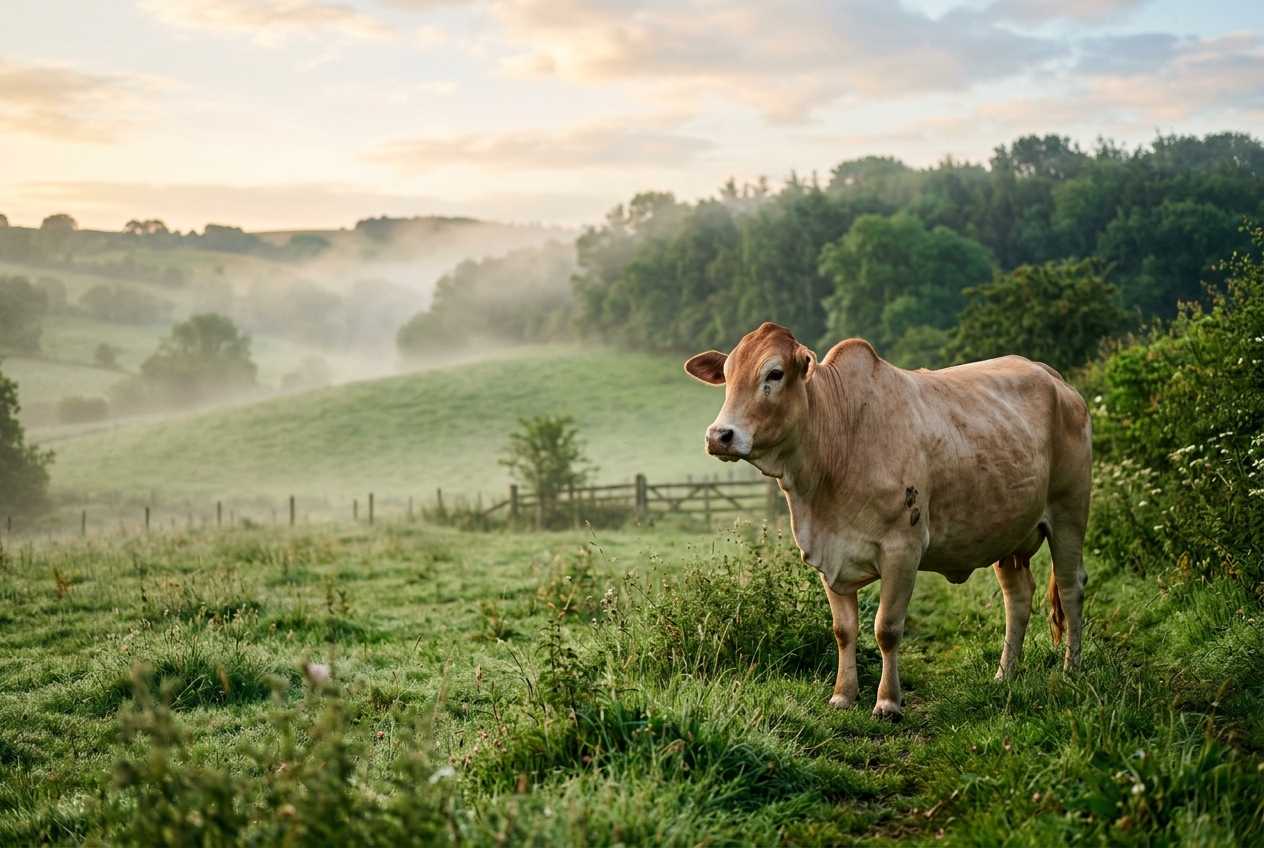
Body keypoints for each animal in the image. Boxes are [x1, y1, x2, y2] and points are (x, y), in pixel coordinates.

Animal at [685, 322, 1091, 722]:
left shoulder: (902, 550)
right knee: (1017, 596)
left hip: (1070, 513)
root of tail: (1056, 379)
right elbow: (844, 630)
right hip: (1008, 534)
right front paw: (843, 695)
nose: (719, 436)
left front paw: (888, 702)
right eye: (727, 375)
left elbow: (887, 629)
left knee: (1071, 588)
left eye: (774, 373)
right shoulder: (829, 554)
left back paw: (1072, 669)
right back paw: (1004, 674)